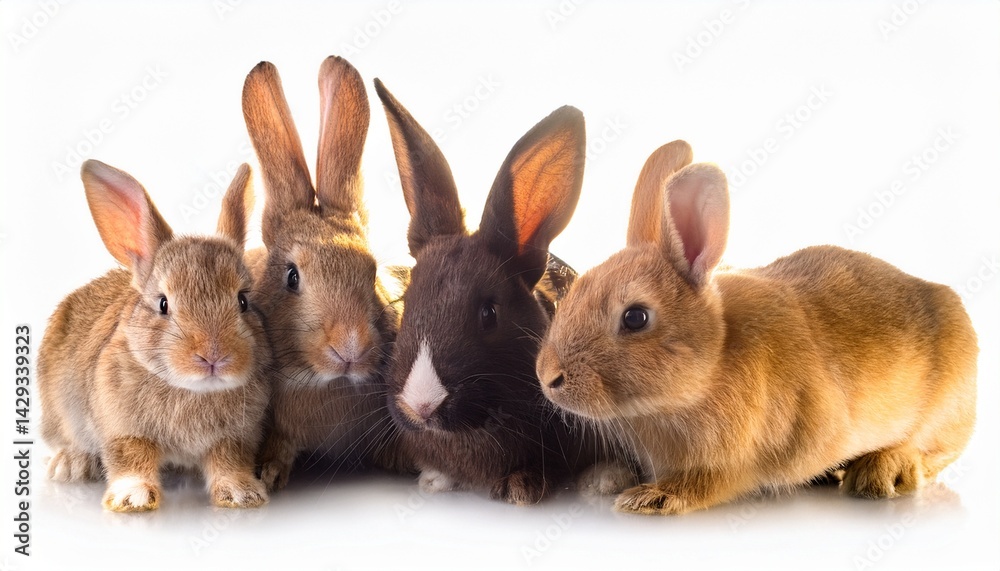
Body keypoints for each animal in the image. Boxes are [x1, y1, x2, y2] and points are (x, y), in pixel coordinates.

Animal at [37, 159, 270, 512]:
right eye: (163, 304)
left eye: (243, 300)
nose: (213, 356)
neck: (192, 390)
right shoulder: (123, 429)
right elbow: (130, 458)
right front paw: (131, 499)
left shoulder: (236, 437)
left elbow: (229, 462)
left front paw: (242, 494)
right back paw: (70, 465)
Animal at [535, 139, 978, 515]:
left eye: (635, 317)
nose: (548, 377)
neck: (709, 368)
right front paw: (602, 481)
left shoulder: (742, 457)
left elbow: (712, 483)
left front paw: (650, 498)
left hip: (944, 409)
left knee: (931, 452)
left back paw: (879, 473)